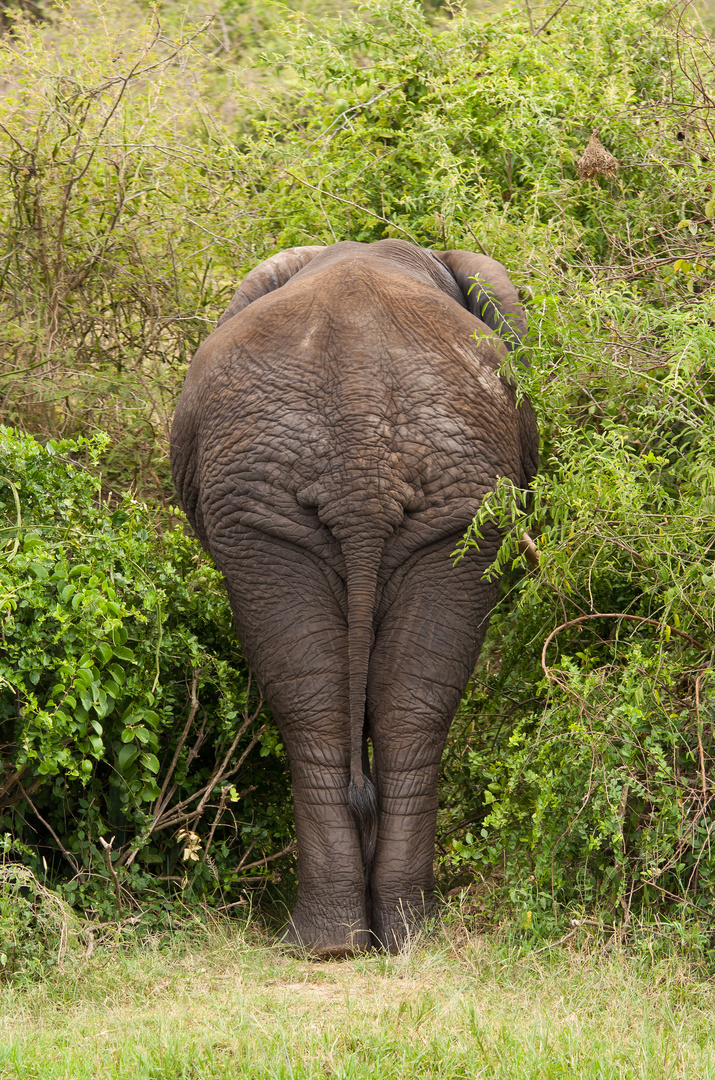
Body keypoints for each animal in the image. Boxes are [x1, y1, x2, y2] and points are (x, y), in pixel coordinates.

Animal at [170, 236, 535, 954]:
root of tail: (362, 462)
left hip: (418, 502)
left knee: (365, 706)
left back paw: (364, 939)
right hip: (303, 502)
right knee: (360, 705)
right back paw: (359, 940)